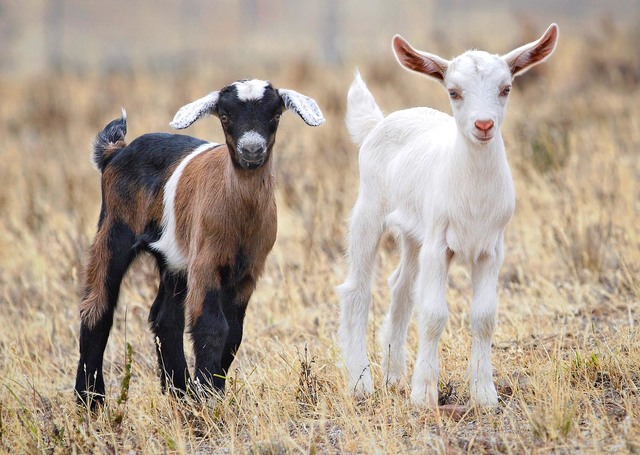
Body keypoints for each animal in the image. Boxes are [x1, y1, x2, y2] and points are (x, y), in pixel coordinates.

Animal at [75, 79, 324, 408]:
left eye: (275, 115)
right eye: (225, 116)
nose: (252, 149)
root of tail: (116, 152)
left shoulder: (249, 270)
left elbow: (234, 332)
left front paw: (209, 391)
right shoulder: (206, 261)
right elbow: (211, 325)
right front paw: (208, 396)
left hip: (174, 259)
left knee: (165, 318)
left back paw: (179, 392)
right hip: (114, 229)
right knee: (97, 307)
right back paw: (90, 400)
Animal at [338, 24, 559, 407]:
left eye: (506, 88)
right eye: (454, 92)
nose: (483, 124)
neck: (473, 192)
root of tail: (377, 124)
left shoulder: (490, 249)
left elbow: (484, 317)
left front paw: (484, 394)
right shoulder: (439, 244)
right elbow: (433, 314)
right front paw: (424, 395)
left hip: (414, 235)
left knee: (401, 287)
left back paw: (393, 376)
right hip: (369, 211)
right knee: (357, 291)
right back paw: (361, 383)